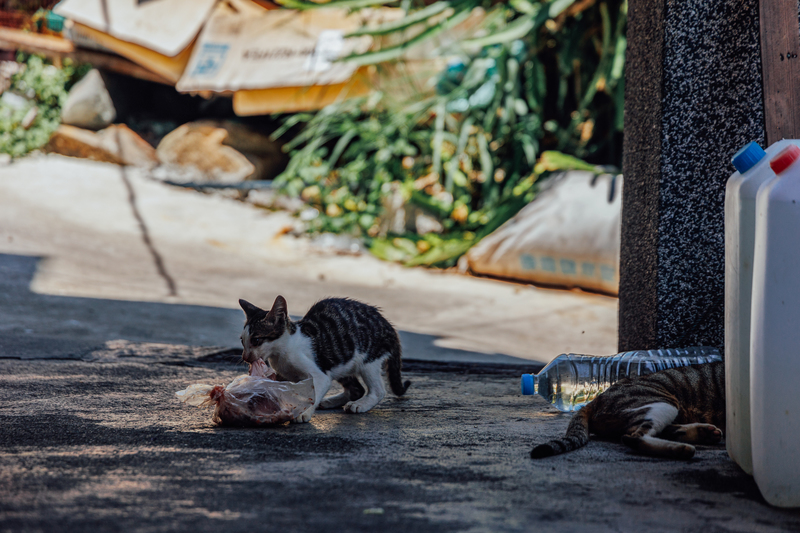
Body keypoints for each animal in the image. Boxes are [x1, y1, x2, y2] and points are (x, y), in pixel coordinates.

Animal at [239, 294, 412, 422]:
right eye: (242, 340)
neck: (282, 351)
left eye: (256, 340)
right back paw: (331, 401)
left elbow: (315, 391)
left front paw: (304, 412)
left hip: (367, 359)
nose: (245, 357)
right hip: (339, 361)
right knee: (357, 389)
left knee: (378, 390)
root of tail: (388, 326)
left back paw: (360, 405)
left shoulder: (320, 375)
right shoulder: (286, 375)